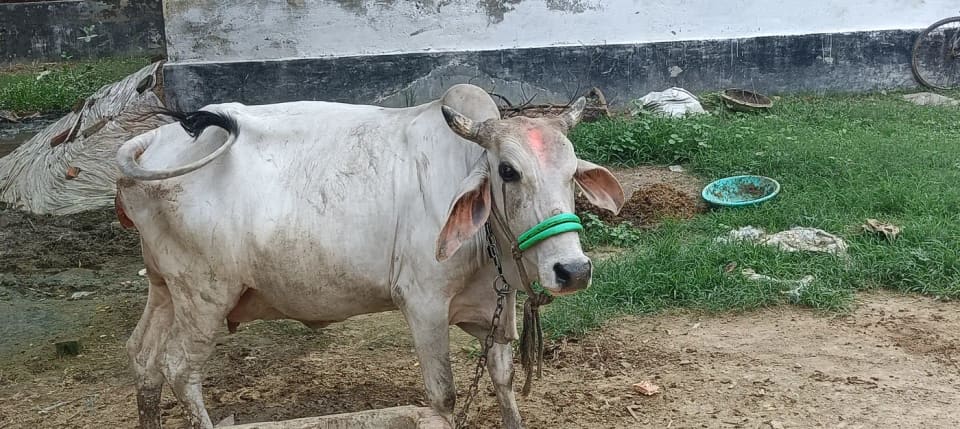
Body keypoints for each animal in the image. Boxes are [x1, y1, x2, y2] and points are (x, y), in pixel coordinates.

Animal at [115, 84, 624, 429]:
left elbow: (502, 378)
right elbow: (443, 397)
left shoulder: (495, 309)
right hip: (205, 295)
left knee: (142, 357)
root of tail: (154, 141)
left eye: (572, 172)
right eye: (508, 171)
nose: (572, 270)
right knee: (179, 369)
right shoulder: (423, 305)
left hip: (166, 289)